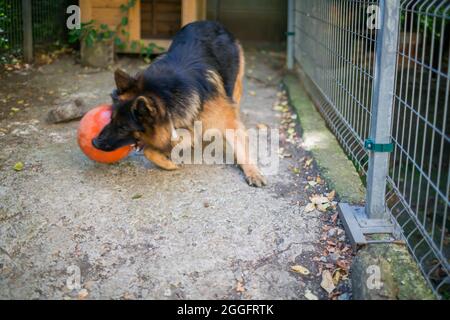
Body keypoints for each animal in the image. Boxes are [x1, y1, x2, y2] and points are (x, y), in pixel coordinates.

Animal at [92, 21, 266, 188]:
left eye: (123, 128)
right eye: (111, 119)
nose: (94, 142)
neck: (166, 95)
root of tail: (210, 22)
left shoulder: (225, 121)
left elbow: (240, 146)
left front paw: (252, 172)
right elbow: (151, 150)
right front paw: (168, 163)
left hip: (234, 88)